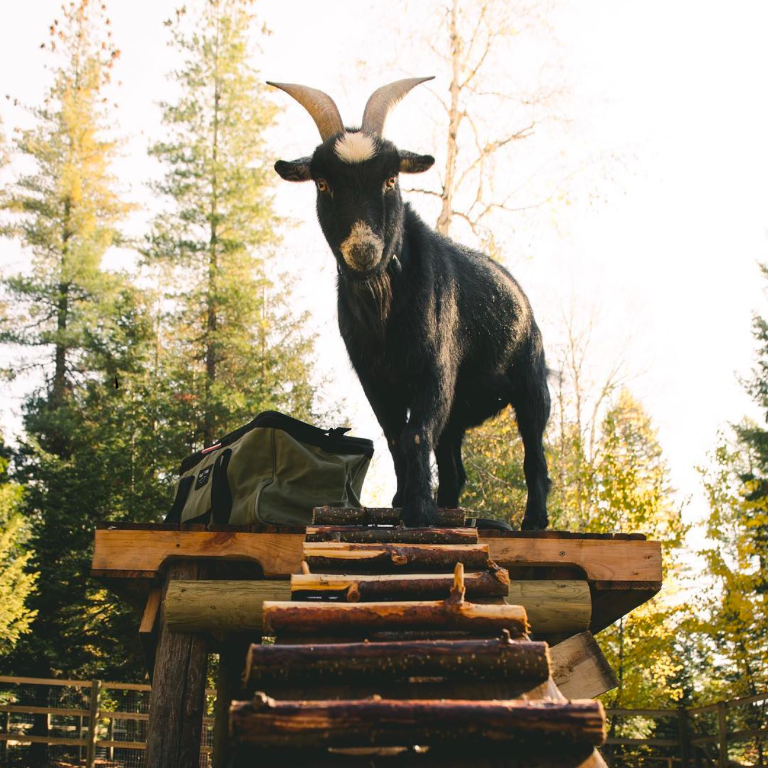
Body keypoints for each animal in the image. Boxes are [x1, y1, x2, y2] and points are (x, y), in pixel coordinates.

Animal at [269, 77, 551, 529]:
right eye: (323, 183)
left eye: (390, 179)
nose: (363, 250)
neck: (385, 312)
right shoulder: (372, 376)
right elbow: (393, 435)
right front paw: (404, 502)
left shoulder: (436, 366)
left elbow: (415, 432)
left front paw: (419, 511)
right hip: (459, 412)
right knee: (454, 465)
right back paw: (451, 508)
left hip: (531, 380)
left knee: (534, 451)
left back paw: (534, 520)